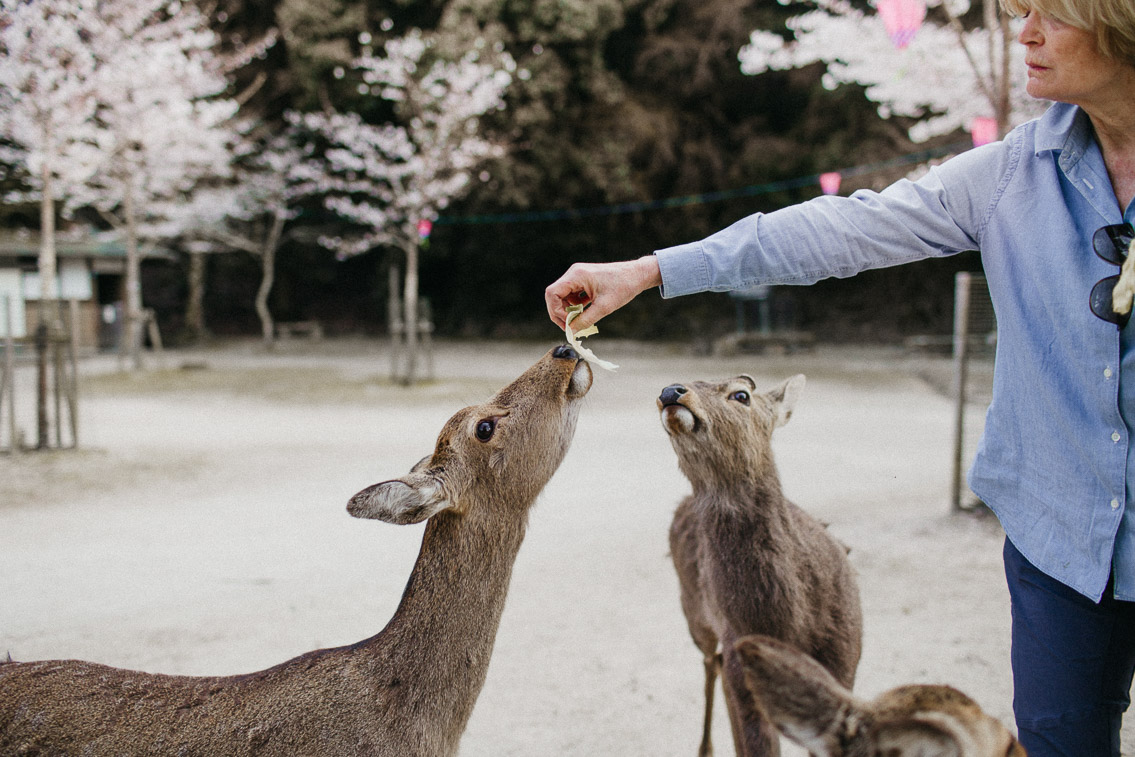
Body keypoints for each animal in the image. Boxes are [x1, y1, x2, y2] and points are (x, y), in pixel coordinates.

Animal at [658, 372, 858, 757]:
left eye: (741, 395)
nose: (669, 391)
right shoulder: (743, 671)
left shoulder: (845, 664)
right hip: (695, 616)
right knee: (712, 664)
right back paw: (705, 748)